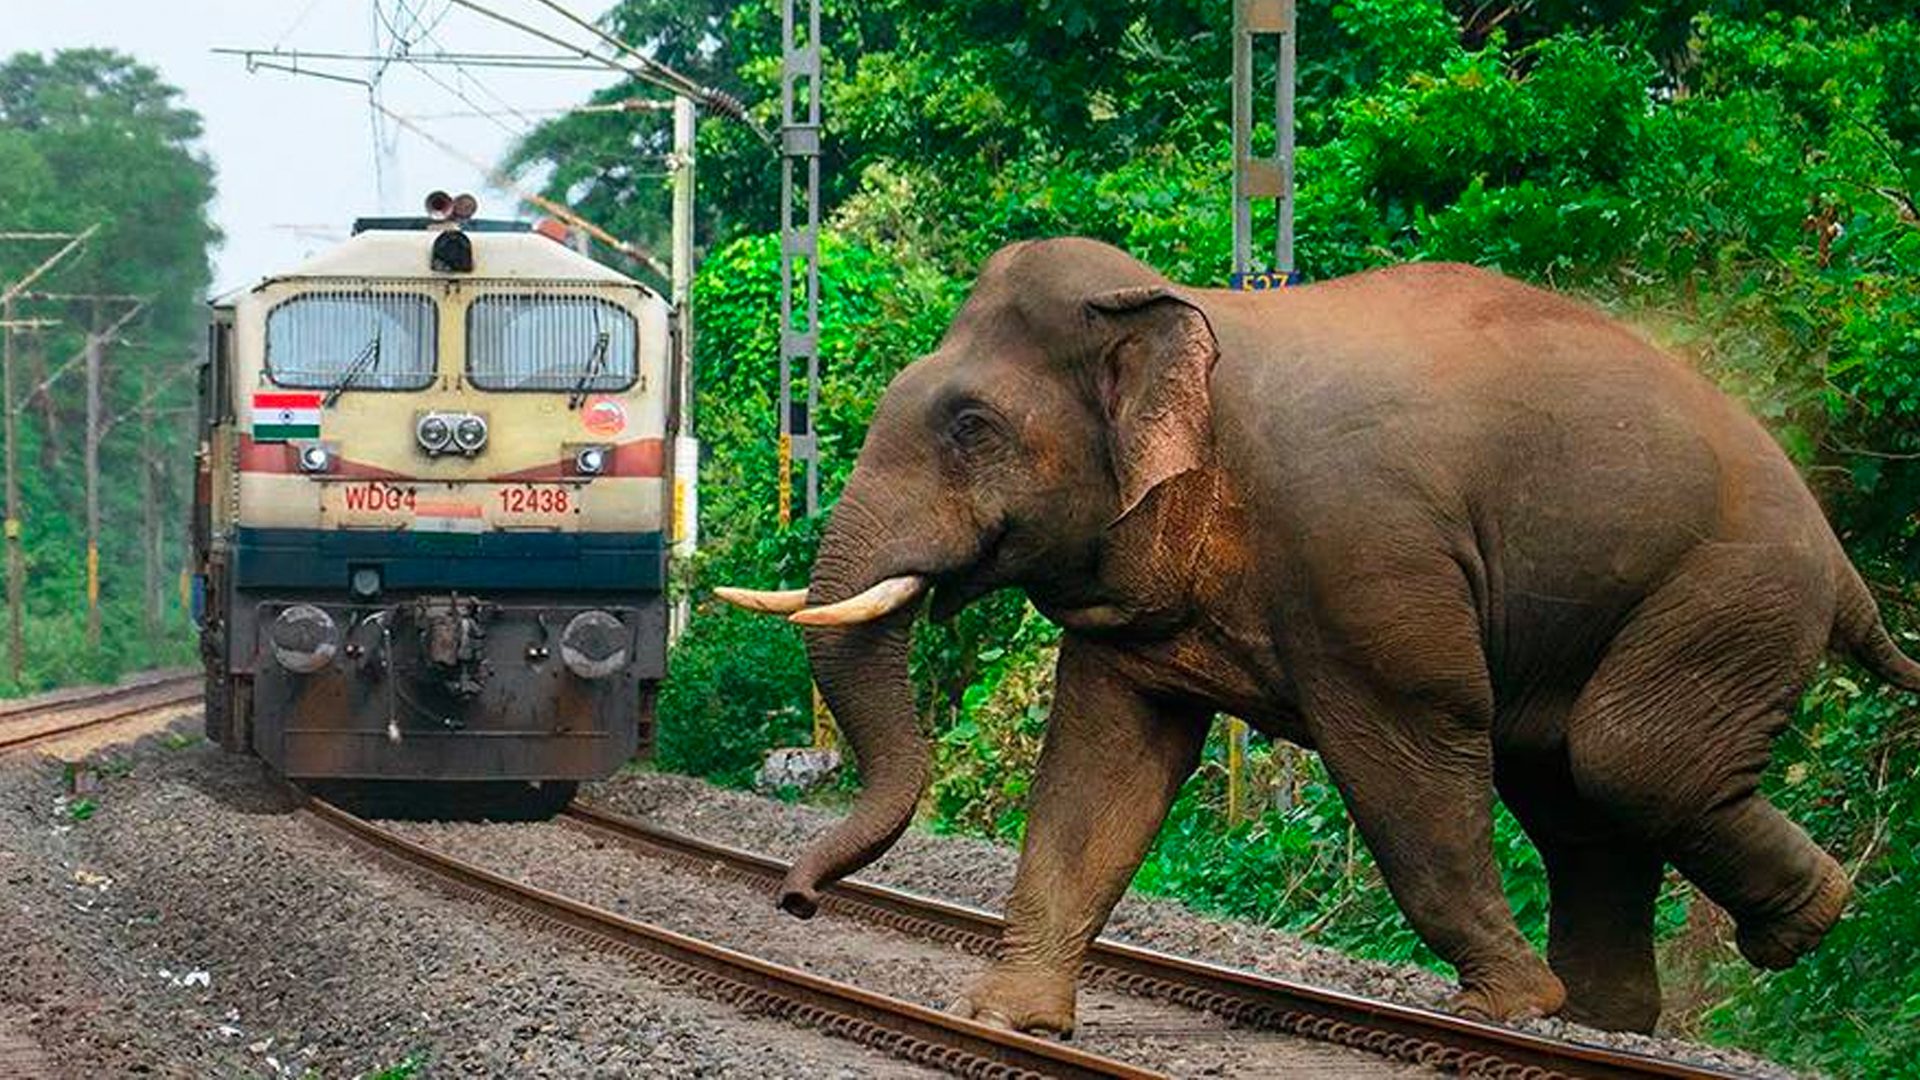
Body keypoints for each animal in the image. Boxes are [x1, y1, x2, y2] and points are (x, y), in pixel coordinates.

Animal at [717, 237, 1920, 1036]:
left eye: (972, 427)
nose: (796, 900)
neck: (1183, 312)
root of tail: (1844, 564)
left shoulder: (1365, 555)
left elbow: (1411, 748)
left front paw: (1502, 1008)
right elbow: (1104, 762)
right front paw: (1009, 1020)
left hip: (1730, 590)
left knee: (1626, 759)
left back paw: (1793, 929)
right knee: (1576, 789)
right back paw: (1611, 1020)